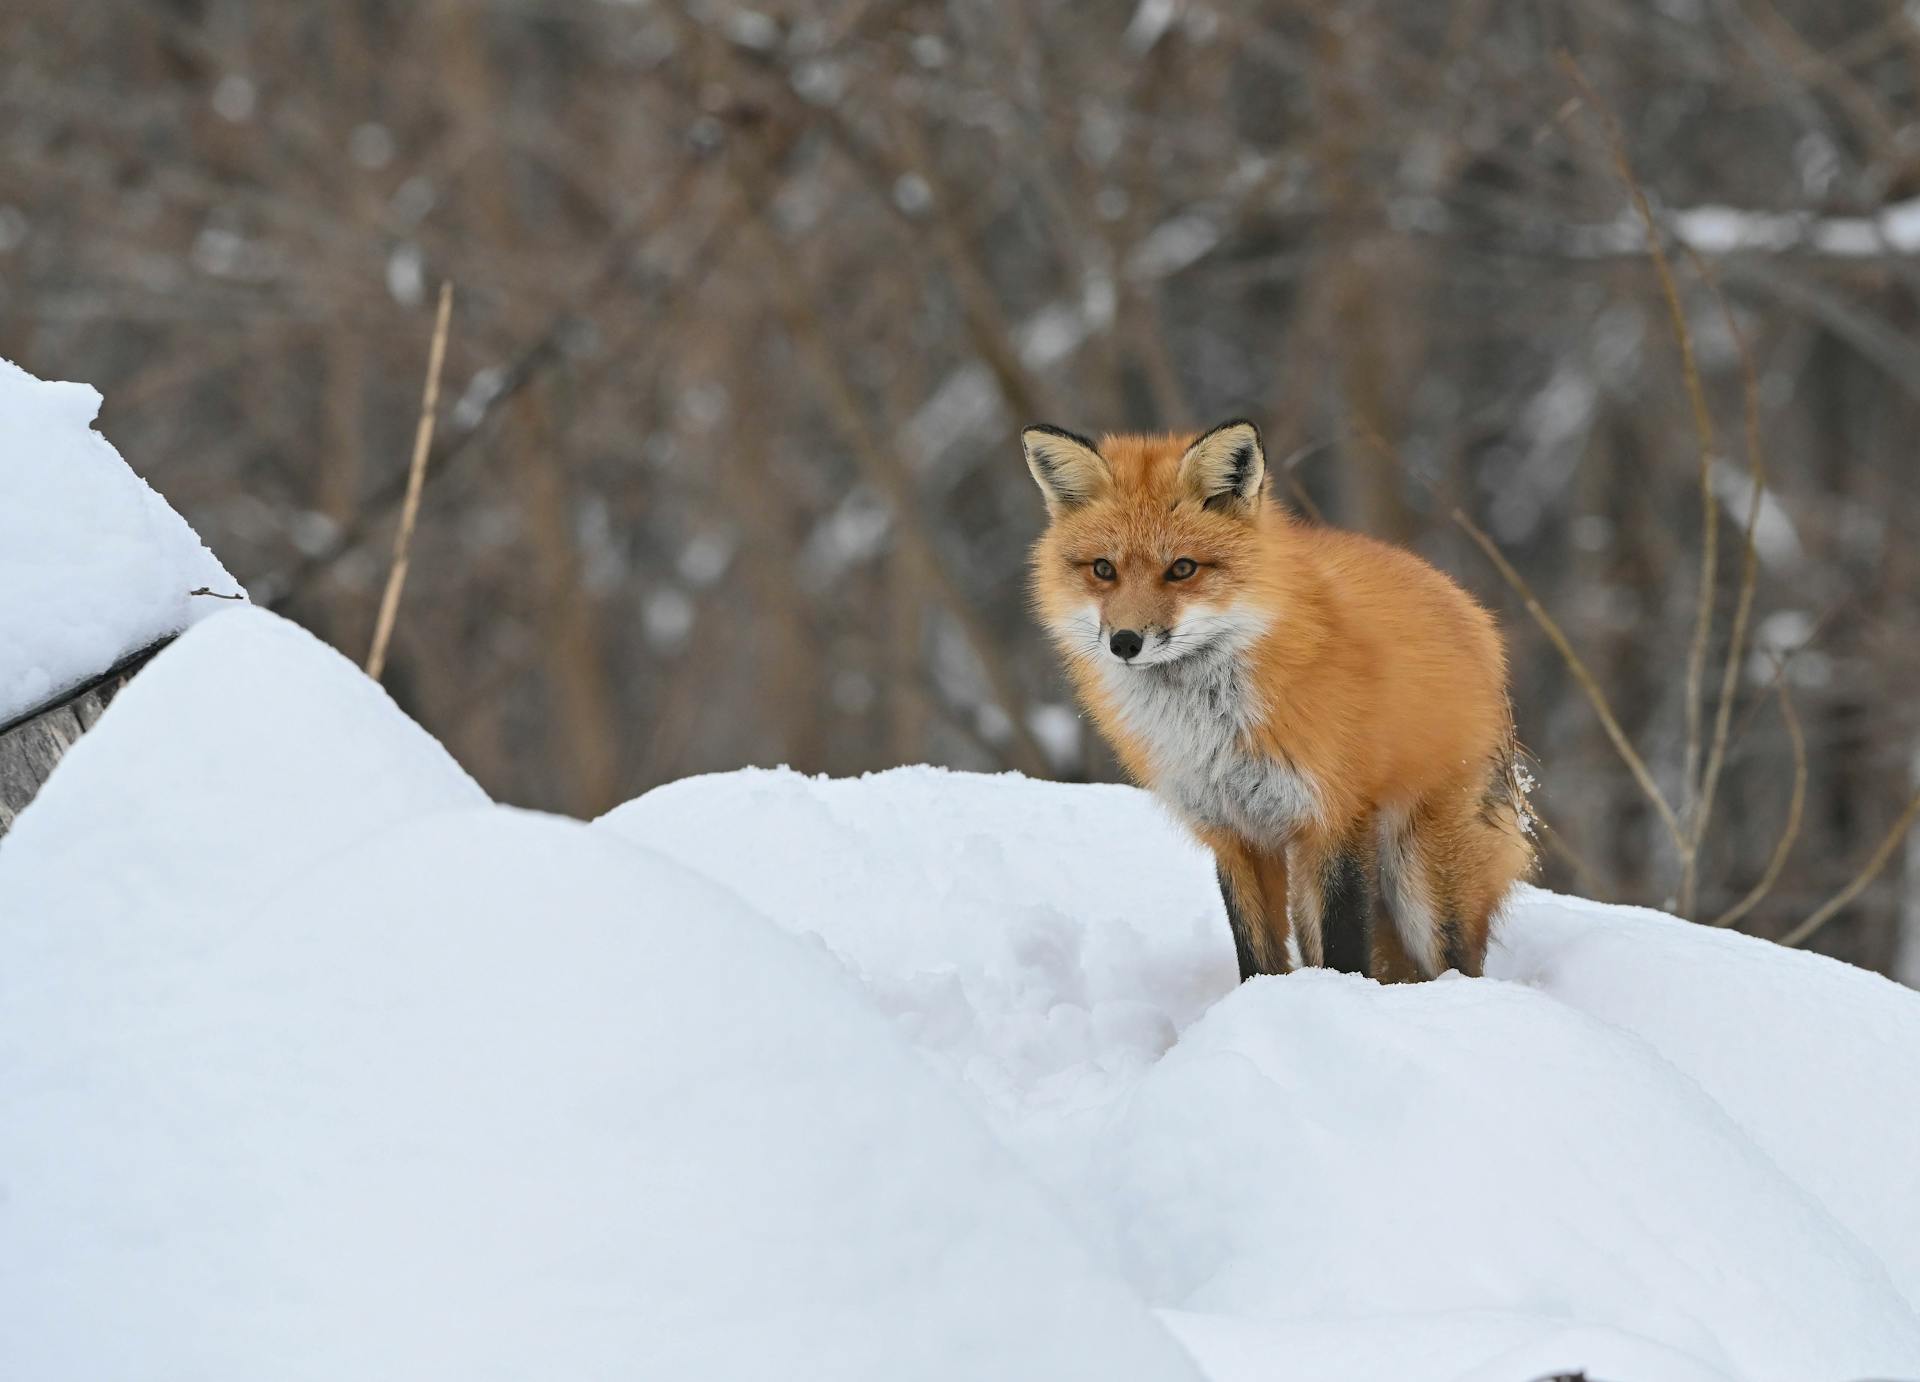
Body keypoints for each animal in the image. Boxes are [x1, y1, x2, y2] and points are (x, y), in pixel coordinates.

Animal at [1021, 420, 1528, 982]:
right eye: (1104, 569)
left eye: (1182, 568)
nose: (1125, 642)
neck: (1210, 725)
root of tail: (1475, 618)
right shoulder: (1233, 831)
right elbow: (1256, 954)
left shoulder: (1335, 816)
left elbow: (1345, 948)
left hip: (1423, 884)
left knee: (1456, 966)